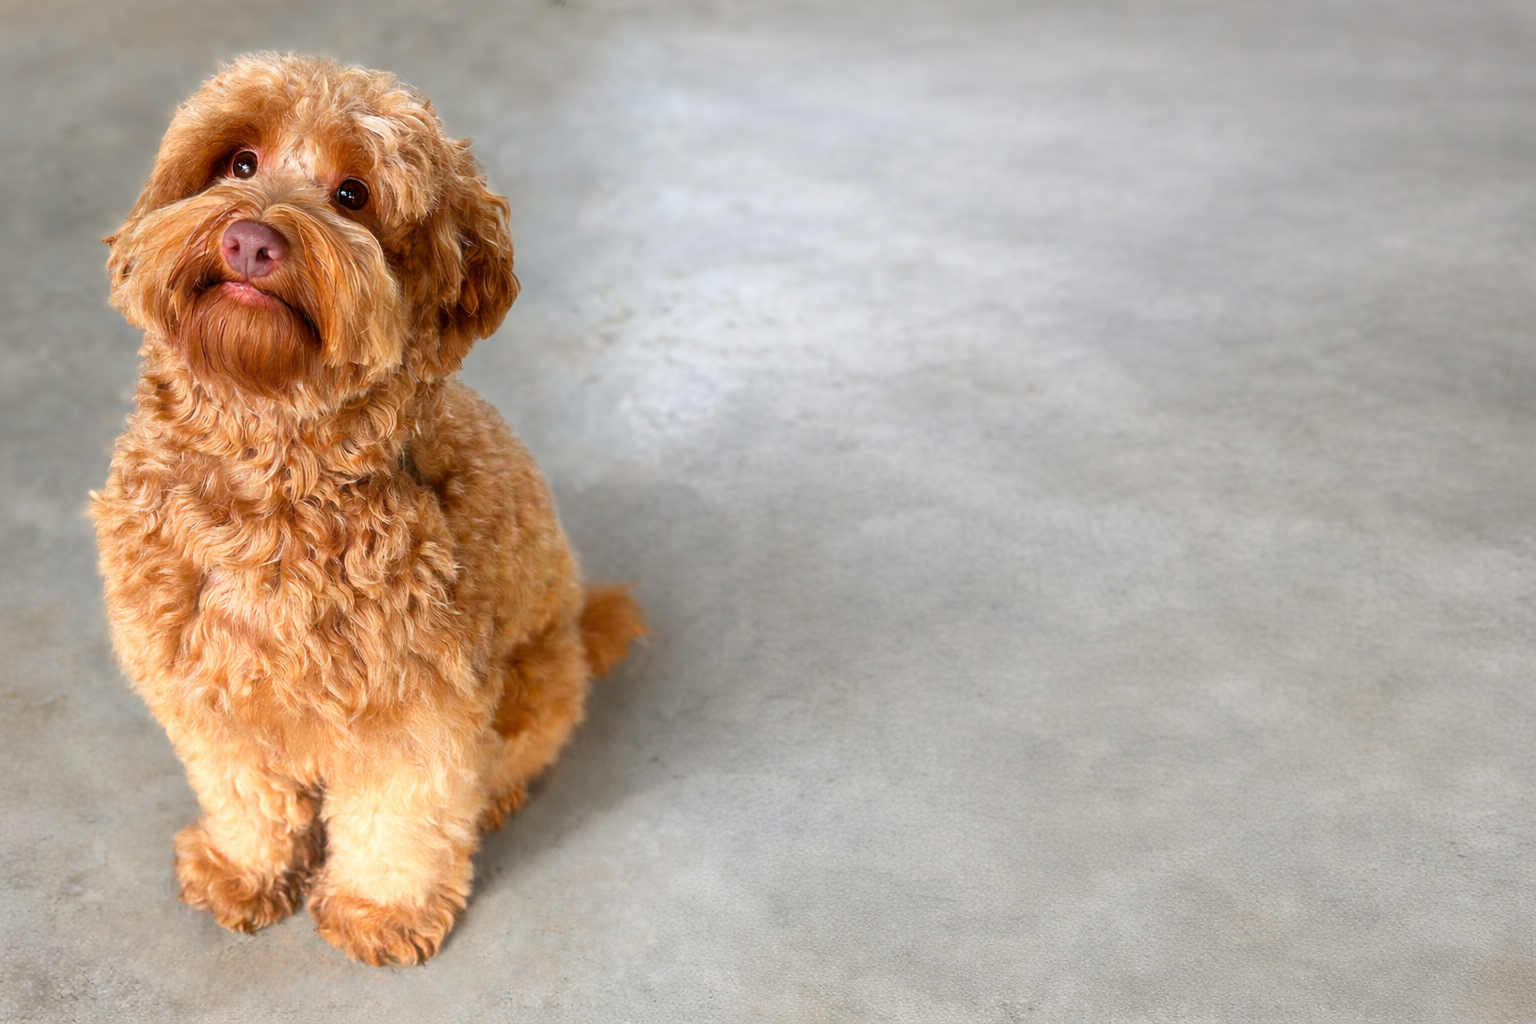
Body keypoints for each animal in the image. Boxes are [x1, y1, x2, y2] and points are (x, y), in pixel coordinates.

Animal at [90, 53, 648, 966]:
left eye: (353, 194)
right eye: (238, 162)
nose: (252, 240)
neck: (274, 469)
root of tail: (580, 624)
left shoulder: (417, 708)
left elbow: (402, 815)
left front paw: (379, 909)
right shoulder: (205, 687)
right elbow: (242, 791)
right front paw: (244, 870)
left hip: (534, 683)